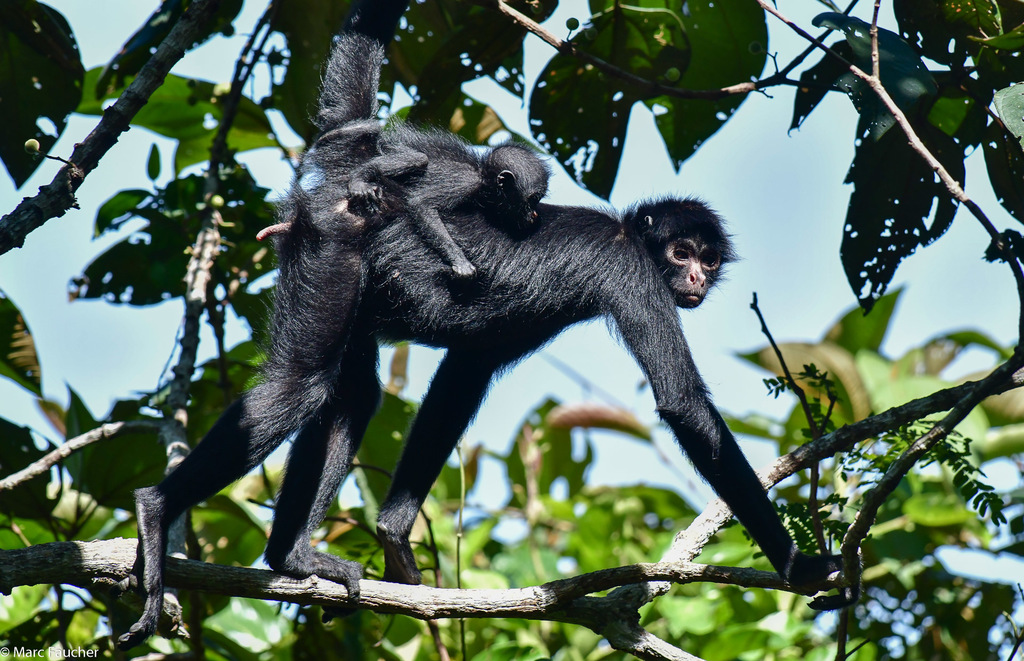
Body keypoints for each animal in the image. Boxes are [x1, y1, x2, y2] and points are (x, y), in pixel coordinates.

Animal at [117, 28, 856, 650]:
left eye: (709, 257)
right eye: (680, 253)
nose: (697, 276)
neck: (626, 231)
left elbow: (467, 367)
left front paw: (393, 532)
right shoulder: (634, 274)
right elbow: (681, 405)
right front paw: (797, 564)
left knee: (352, 393)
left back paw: (290, 556)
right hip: (329, 256)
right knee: (304, 385)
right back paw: (156, 510)